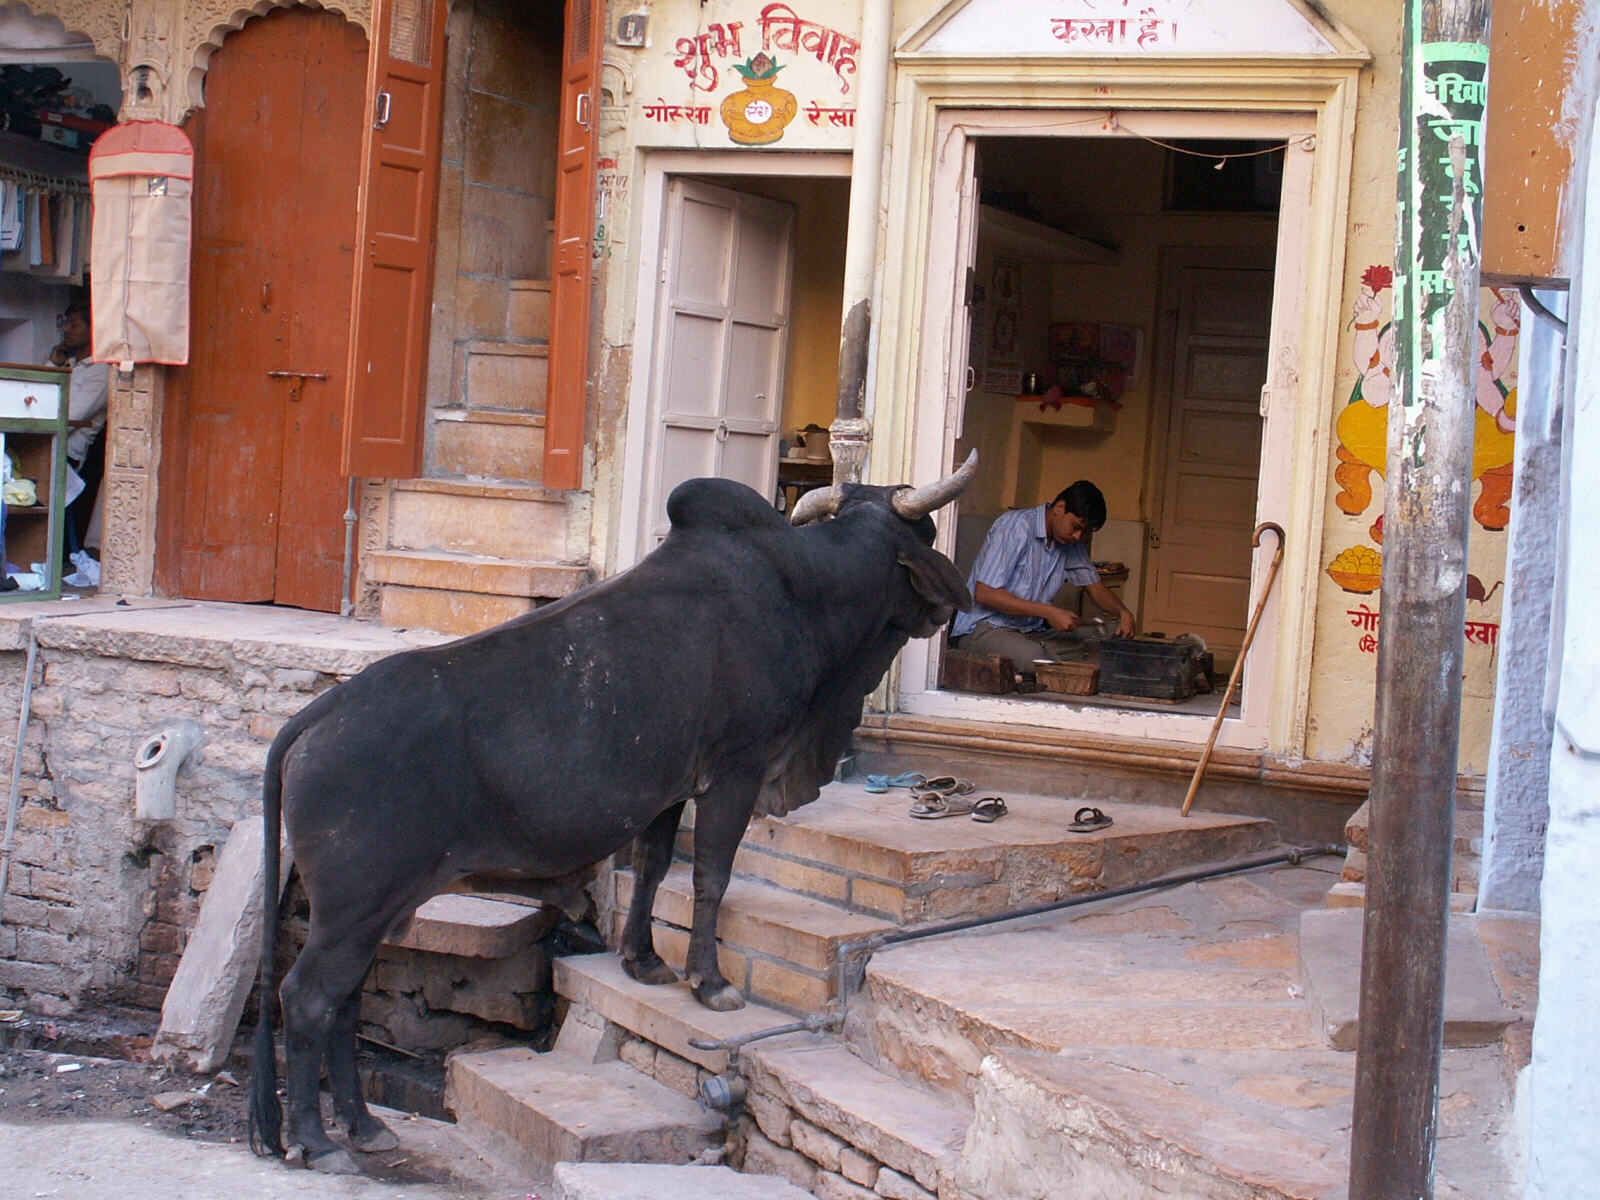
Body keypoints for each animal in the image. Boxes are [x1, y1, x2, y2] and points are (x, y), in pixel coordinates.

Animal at [248, 451, 972, 1177]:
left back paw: (364, 1125)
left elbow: (651, 867)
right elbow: (710, 877)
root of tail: (316, 715)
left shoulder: (669, 788)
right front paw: (709, 982)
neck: (803, 588)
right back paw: (318, 1140)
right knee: (306, 998)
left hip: (376, 911)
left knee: (344, 1002)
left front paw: (644, 961)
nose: (949, 607)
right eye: (929, 534)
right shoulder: (734, 771)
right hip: (354, 909)